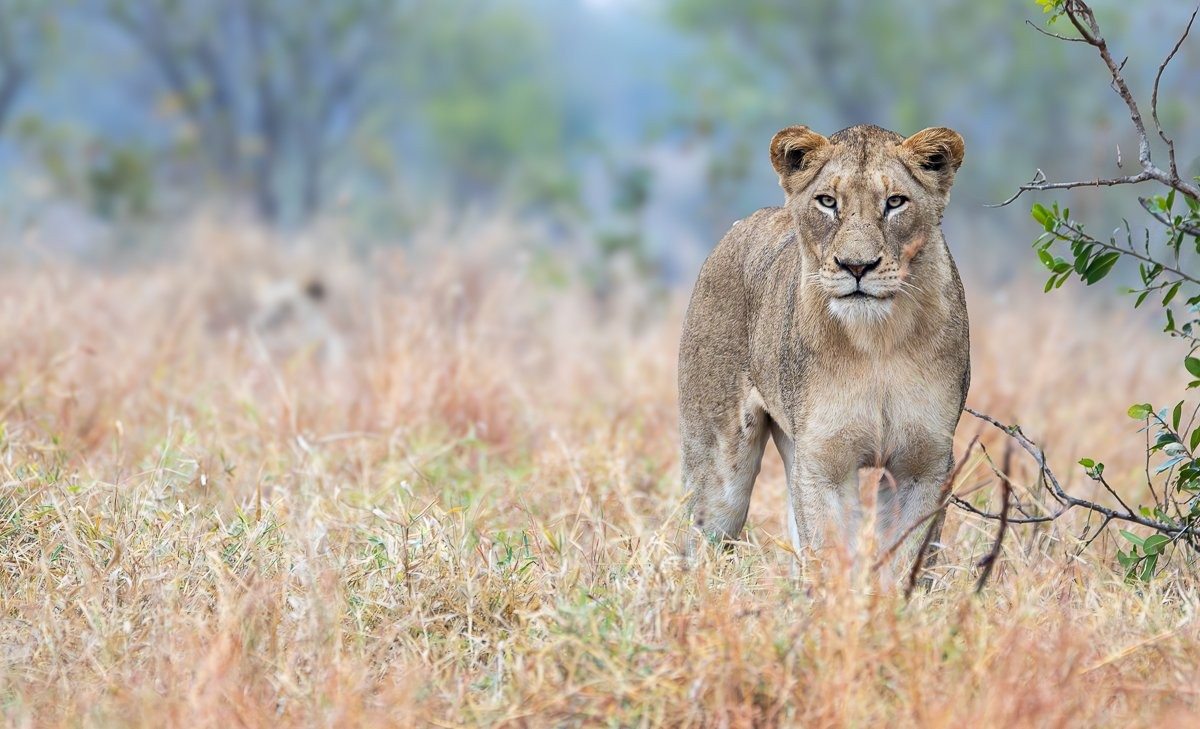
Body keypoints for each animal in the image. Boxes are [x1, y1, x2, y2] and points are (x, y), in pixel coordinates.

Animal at [678, 123, 969, 583]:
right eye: (828, 202)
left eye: (895, 202)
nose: (857, 266)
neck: (877, 342)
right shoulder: (823, 462)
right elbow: (831, 553)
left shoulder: (924, 464)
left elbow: (905, 559)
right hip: (718, 469)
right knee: (700, 541)